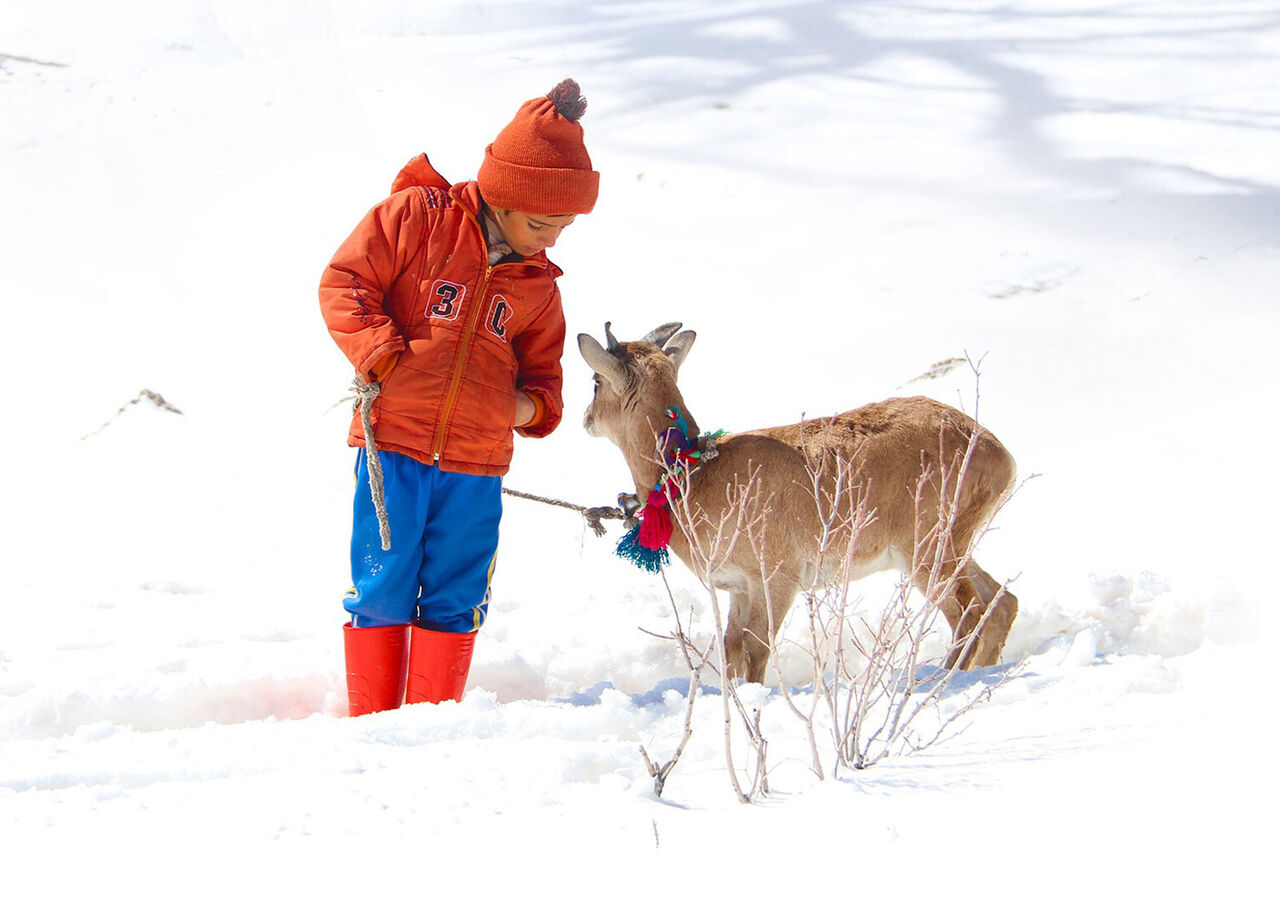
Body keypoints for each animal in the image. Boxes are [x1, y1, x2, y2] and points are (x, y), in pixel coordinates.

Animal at [581, 327, 1018, 685]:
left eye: (595, 381)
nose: (585, 419)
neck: (695, 476)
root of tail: (999, 453)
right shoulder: (739, 587)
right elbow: (732, 647)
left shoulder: (777, 578)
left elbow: (756, 649)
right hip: (956, 545)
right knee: (1001, 601)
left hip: (927, 549)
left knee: (968, 612)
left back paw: (939, 681)